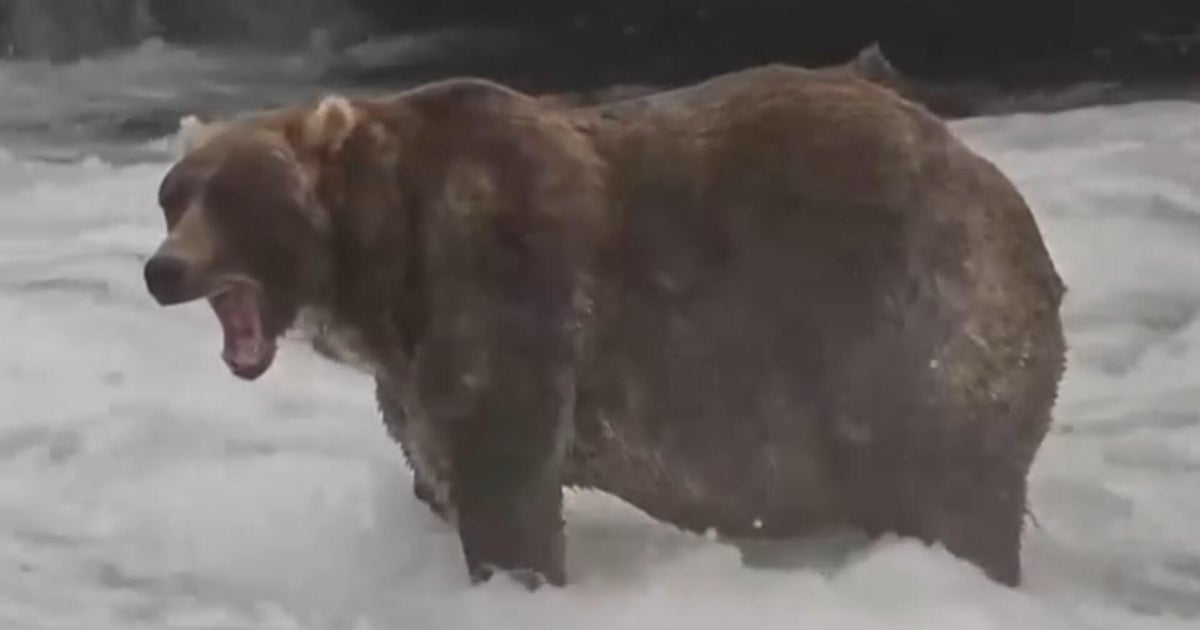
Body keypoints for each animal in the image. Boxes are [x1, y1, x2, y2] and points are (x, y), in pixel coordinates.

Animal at [142, 63, 1067, 590]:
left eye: (235, 195)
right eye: (173, 195)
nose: (162, 270)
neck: (381, 267)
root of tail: (1000, 189)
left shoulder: (505, 285)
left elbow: (507, 479)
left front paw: (518, 575)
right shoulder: (410, 368)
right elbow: (434, 460)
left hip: (910, 321)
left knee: (954, 482)